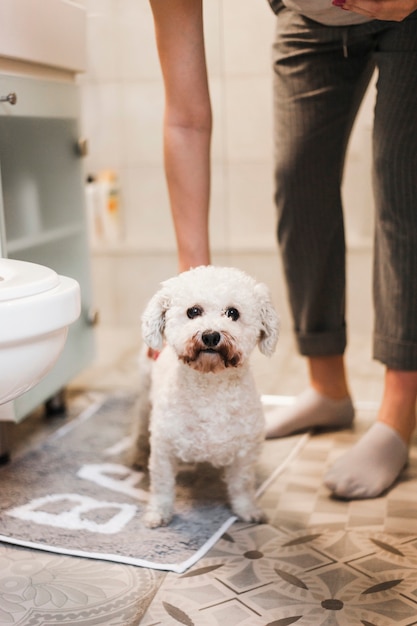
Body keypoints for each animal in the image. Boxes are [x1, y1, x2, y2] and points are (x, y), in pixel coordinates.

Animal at [130, 264, 280, 528]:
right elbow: (162, 486)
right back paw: (138, 454)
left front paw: (248, 510)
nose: (210, 335)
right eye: (193, 311)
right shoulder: (164, 449)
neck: (210, 389)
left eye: (232, 313)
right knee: (139, 426)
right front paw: (158, 513)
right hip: (145, 396)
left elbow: (242, 485)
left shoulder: (244, 451)